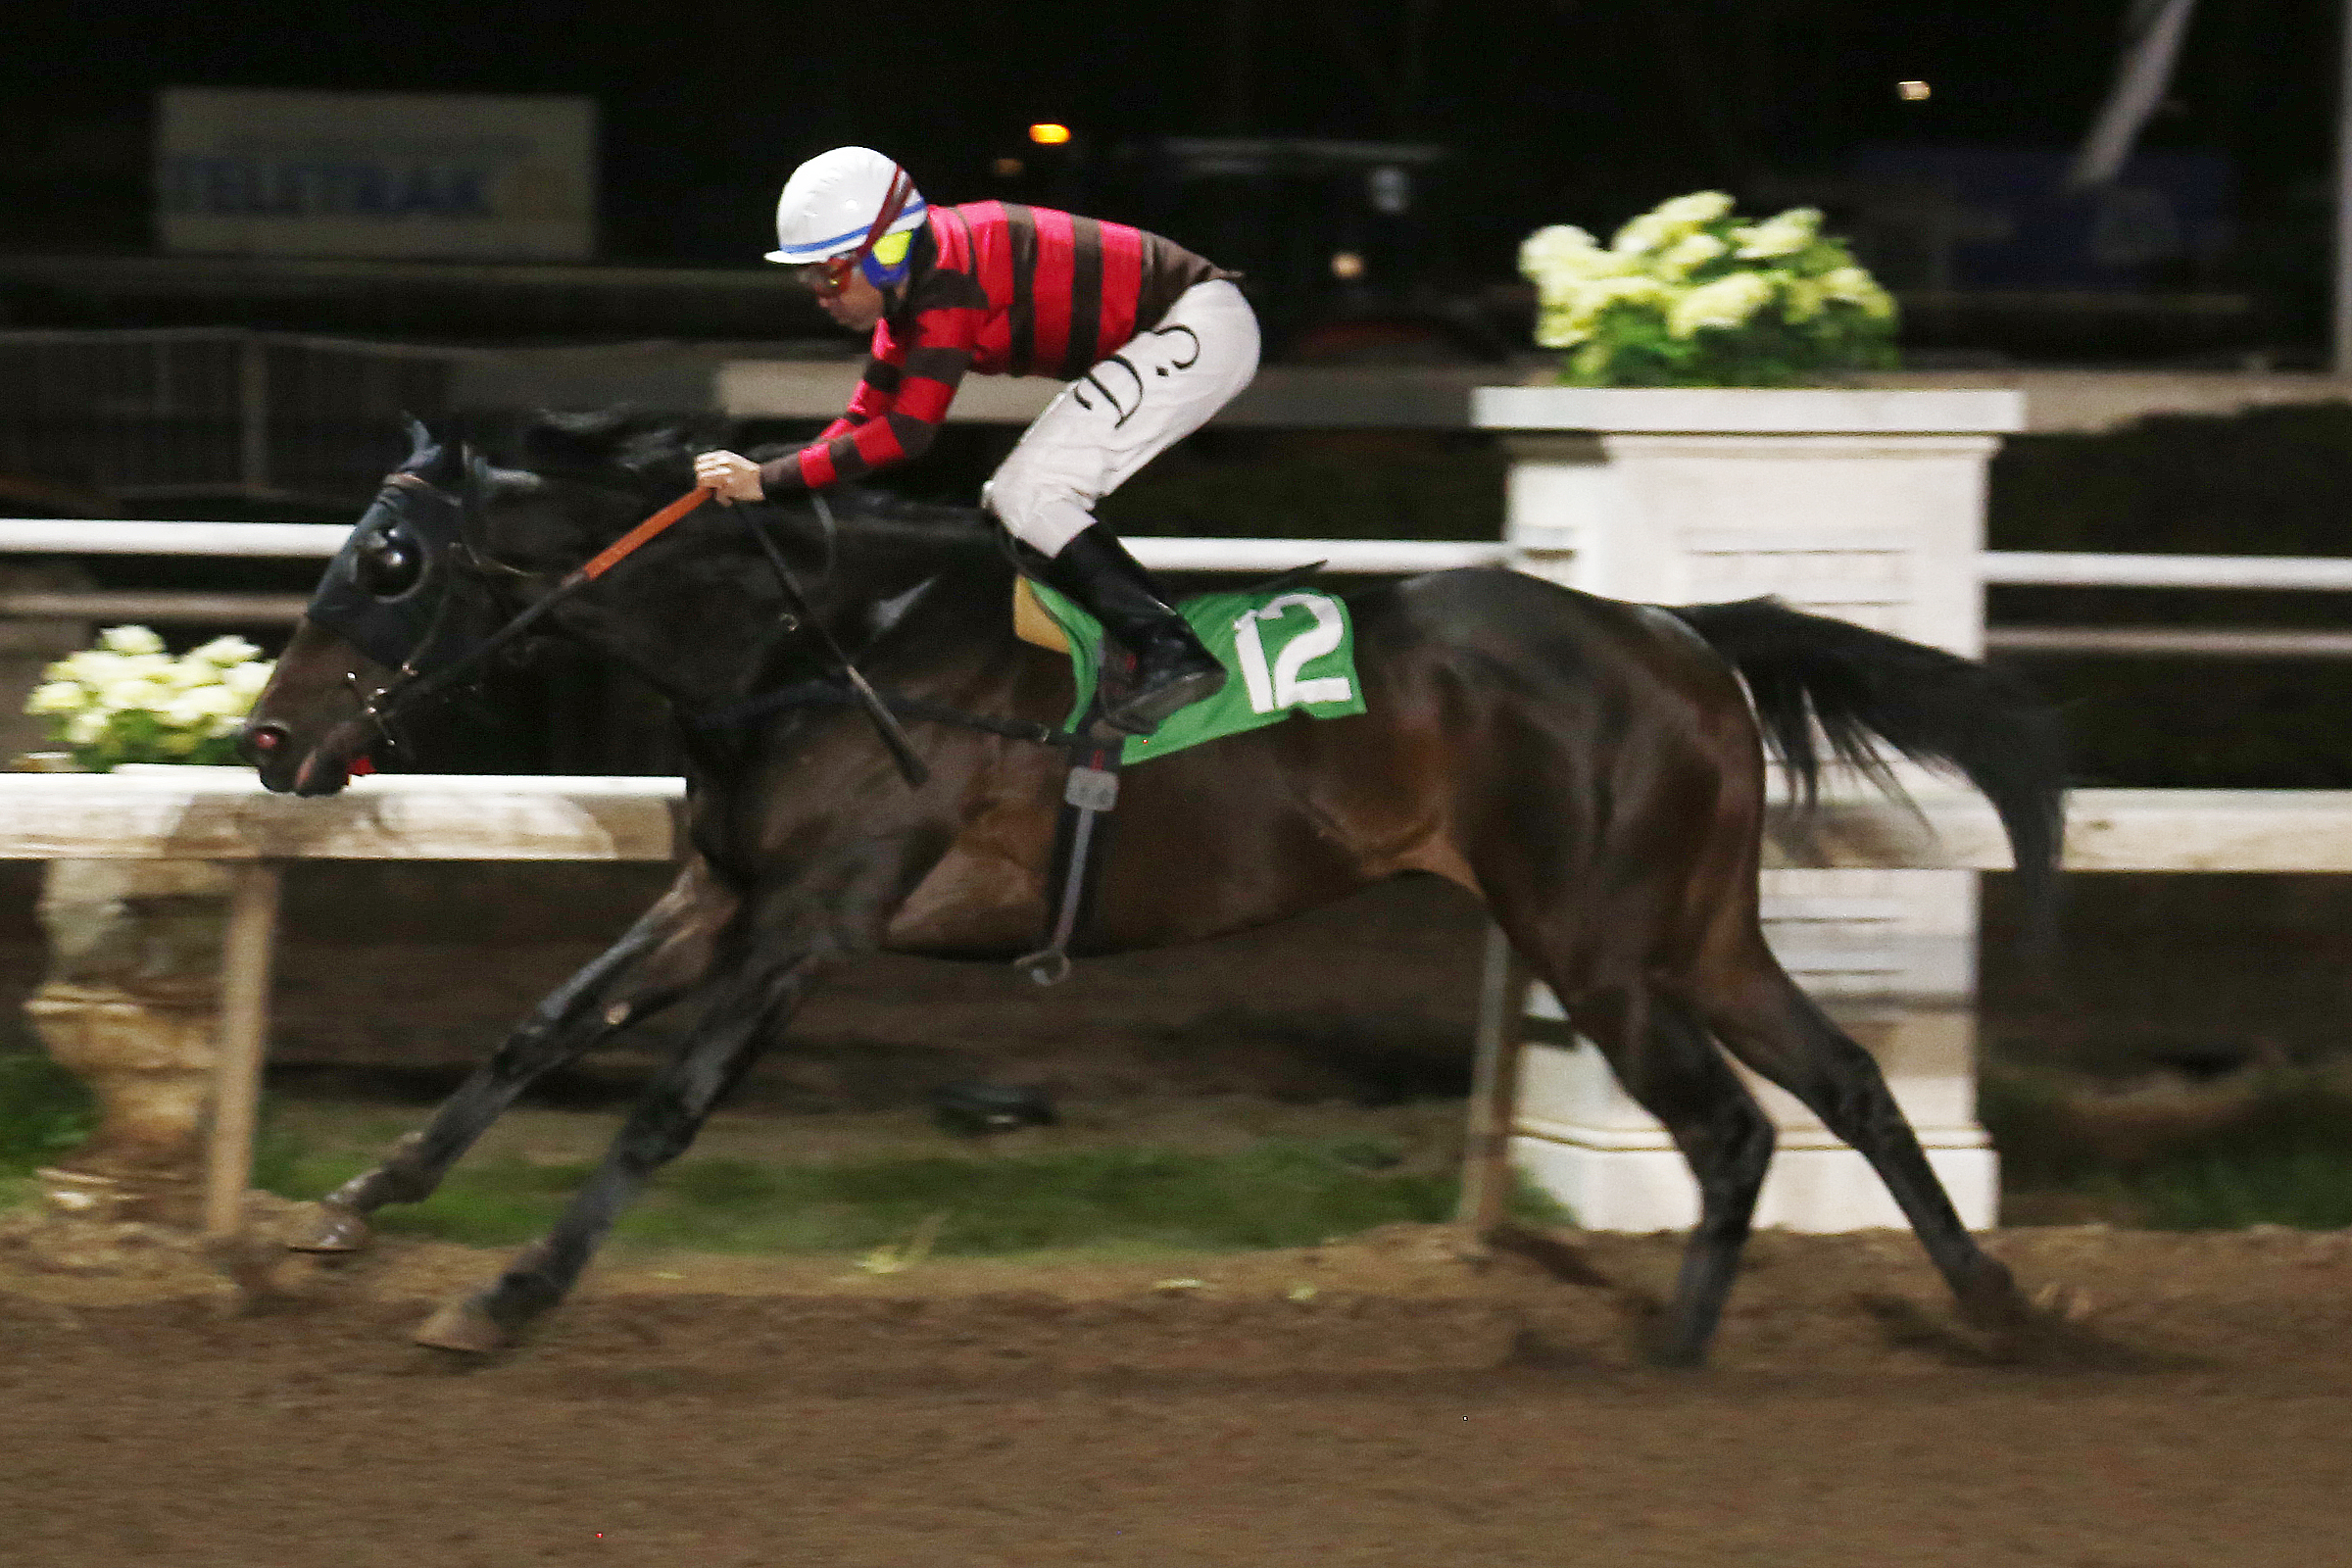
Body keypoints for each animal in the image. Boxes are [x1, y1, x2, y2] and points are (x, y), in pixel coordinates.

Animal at [241, 410, 2065, 1364]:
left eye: (387, 562)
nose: (266, 741)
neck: (812, 645)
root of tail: (1680, 631)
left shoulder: (815, 921)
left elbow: (661, 1108)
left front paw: (504, 1294)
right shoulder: (719, 891)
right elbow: (541, 1028)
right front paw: (347, 1210)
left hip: (1600, 942)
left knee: (1734, 1125)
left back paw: (1677, 1348)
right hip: (1692, 927)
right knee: (1842, 1083)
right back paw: (1989, 1302)